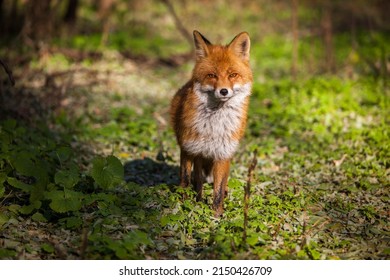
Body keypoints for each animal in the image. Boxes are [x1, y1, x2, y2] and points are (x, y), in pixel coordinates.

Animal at [171, 30, 253, 217]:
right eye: (212, 75)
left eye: (232, 75)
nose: (223, 91)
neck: (213, 127)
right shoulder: (188, 148)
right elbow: (185, 181)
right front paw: (184, 207)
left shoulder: (223, 154)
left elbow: (217, 191)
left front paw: (217, 216)